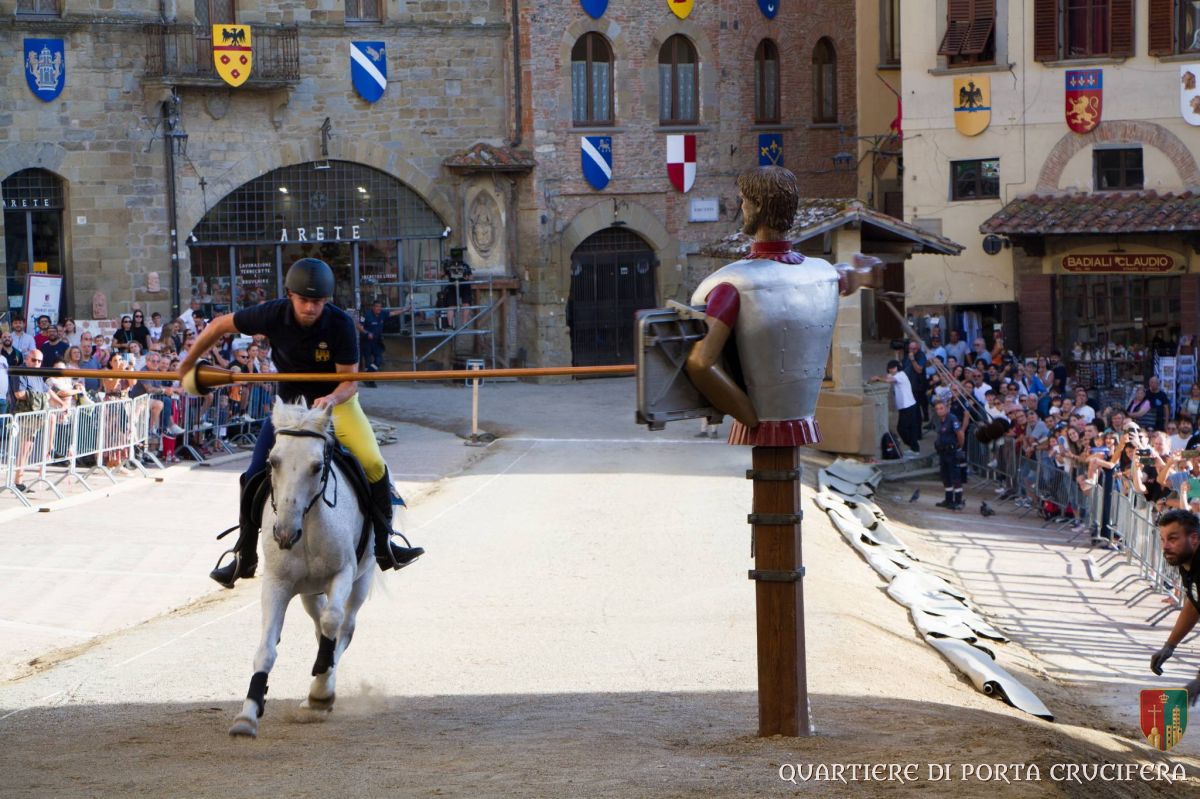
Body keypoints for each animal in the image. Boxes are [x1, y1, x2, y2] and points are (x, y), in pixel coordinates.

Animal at [228, 398, 375, 738]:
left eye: (317, 466)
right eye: (272, 462)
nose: (283, 533)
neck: (305, 527)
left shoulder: (344, 573)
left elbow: (333, 621)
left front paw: (322, 690)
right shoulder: (276, 583)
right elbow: (267, 648)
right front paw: (248, 714)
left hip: (364, 578)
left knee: (343, 626)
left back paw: (320, 691)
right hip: (309, 590)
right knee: (319, 623)